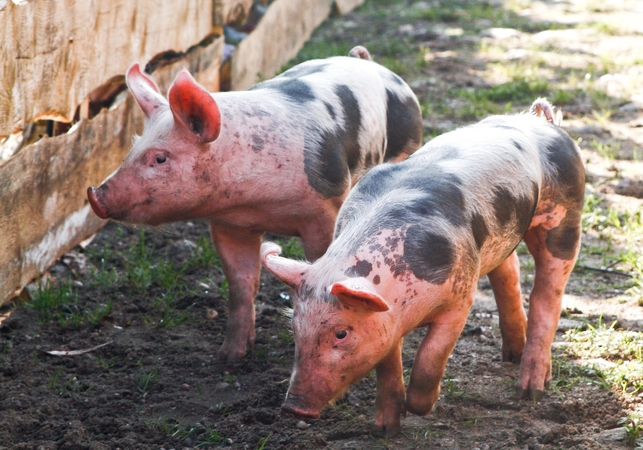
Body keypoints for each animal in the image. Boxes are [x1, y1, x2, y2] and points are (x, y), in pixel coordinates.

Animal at [88, 46, 426, 362]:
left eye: (160, 158)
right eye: (132, 148)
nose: (94, 195)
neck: (257, 203)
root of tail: (369, 62)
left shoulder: (325, 209)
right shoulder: (229, 224)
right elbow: (241, 282)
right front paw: (229, 357)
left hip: (406, 144)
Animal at [262, 99, 588, 436]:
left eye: (341, 333)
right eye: (295, 325)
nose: (293, 406)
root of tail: (540, 122)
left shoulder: (461, 297)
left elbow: (431, 355)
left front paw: (419, 408)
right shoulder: (387, 315)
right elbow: (388, 364)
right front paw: (385, 429)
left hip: (565, 216)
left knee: (547, 294)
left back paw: (530, 391)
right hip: (502, 236)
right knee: (508, 271)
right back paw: (511, 355)